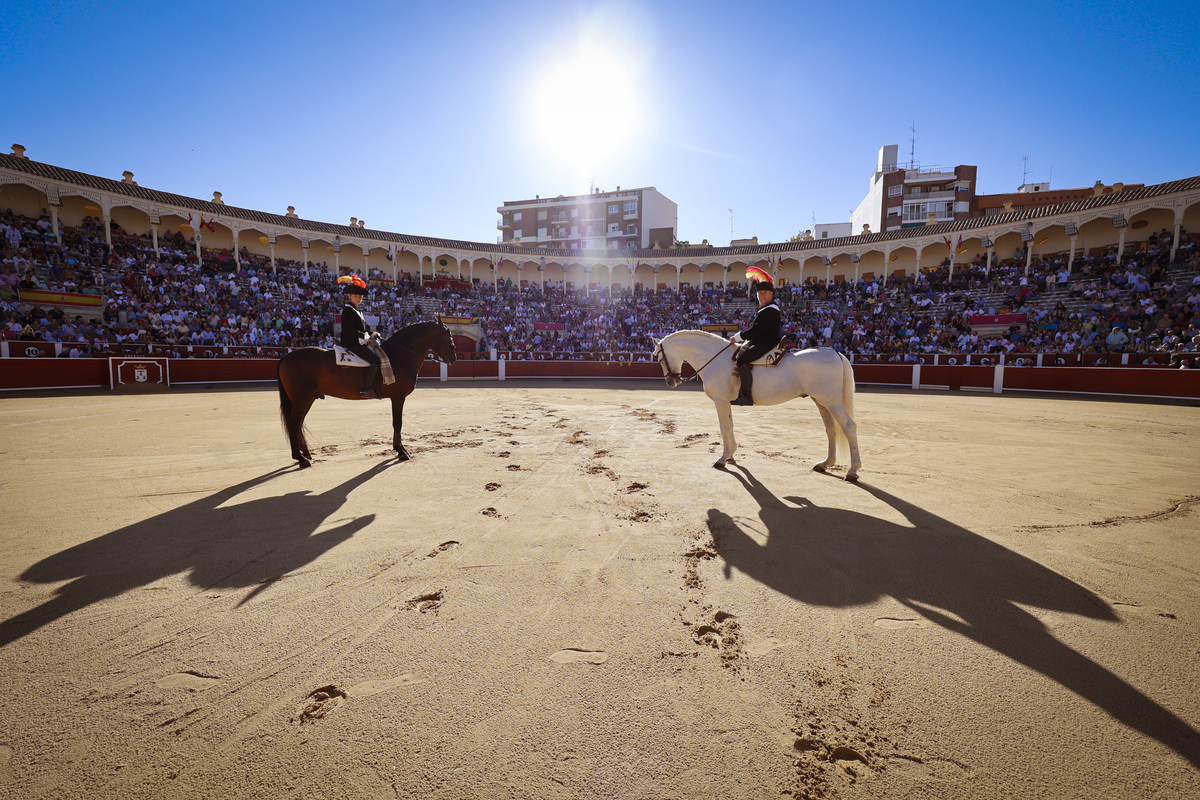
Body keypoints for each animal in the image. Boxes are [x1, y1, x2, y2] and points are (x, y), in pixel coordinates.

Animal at [276, 321, 458, 465]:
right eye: (448, 337)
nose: (453, 358)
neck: (399, 355)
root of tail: (286, 357)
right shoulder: (398, 397)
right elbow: (397, 423)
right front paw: (401, 451)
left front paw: (398, 449)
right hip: (301, 399)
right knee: (293, 423)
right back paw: (300, 458)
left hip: (308, 399)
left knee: (298, 423)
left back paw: (306, 454)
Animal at [652, 328, 859, 479]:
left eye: (659, 357)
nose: (671, 382)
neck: (715, 359)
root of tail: (834, 353)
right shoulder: (726, 402)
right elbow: (730, 426)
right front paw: (731, 455)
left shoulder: (720, 401)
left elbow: (724, 427)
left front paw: (722, 458)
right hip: (822, 402)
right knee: (831, 429)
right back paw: (825, 464)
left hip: (831, 402)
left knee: (848, 427)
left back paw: (853, 471)